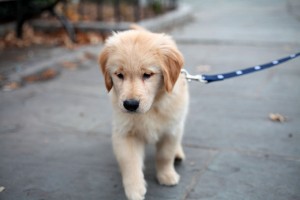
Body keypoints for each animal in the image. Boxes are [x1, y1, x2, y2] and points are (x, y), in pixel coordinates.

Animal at [99, 28, 189, 200]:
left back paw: (178, 152)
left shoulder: (171, 129)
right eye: (119, 75)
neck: (151, 108)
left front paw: (166, 175)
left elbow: (165, 155)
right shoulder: (125, 133)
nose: (130, 105)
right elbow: (129, 161)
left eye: (147, 75)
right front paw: (134, 190)